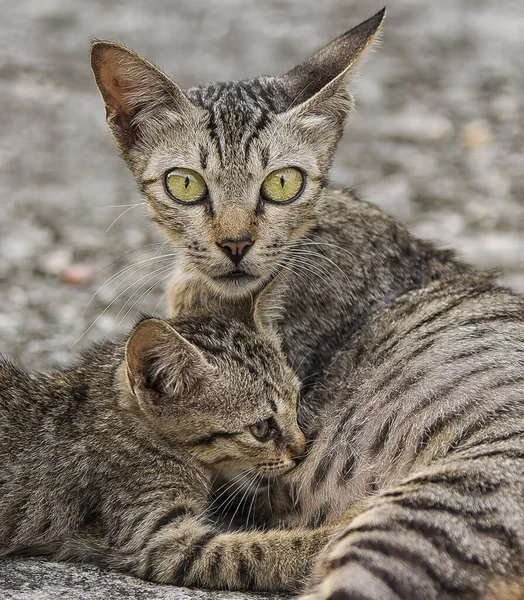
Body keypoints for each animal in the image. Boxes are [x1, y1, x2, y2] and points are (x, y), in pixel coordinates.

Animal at [0, 304, 336, 592]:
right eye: (261, 428)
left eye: (296, 403)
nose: (302, 449)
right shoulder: (155, 540)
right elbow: (258, 550)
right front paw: (335, 535)